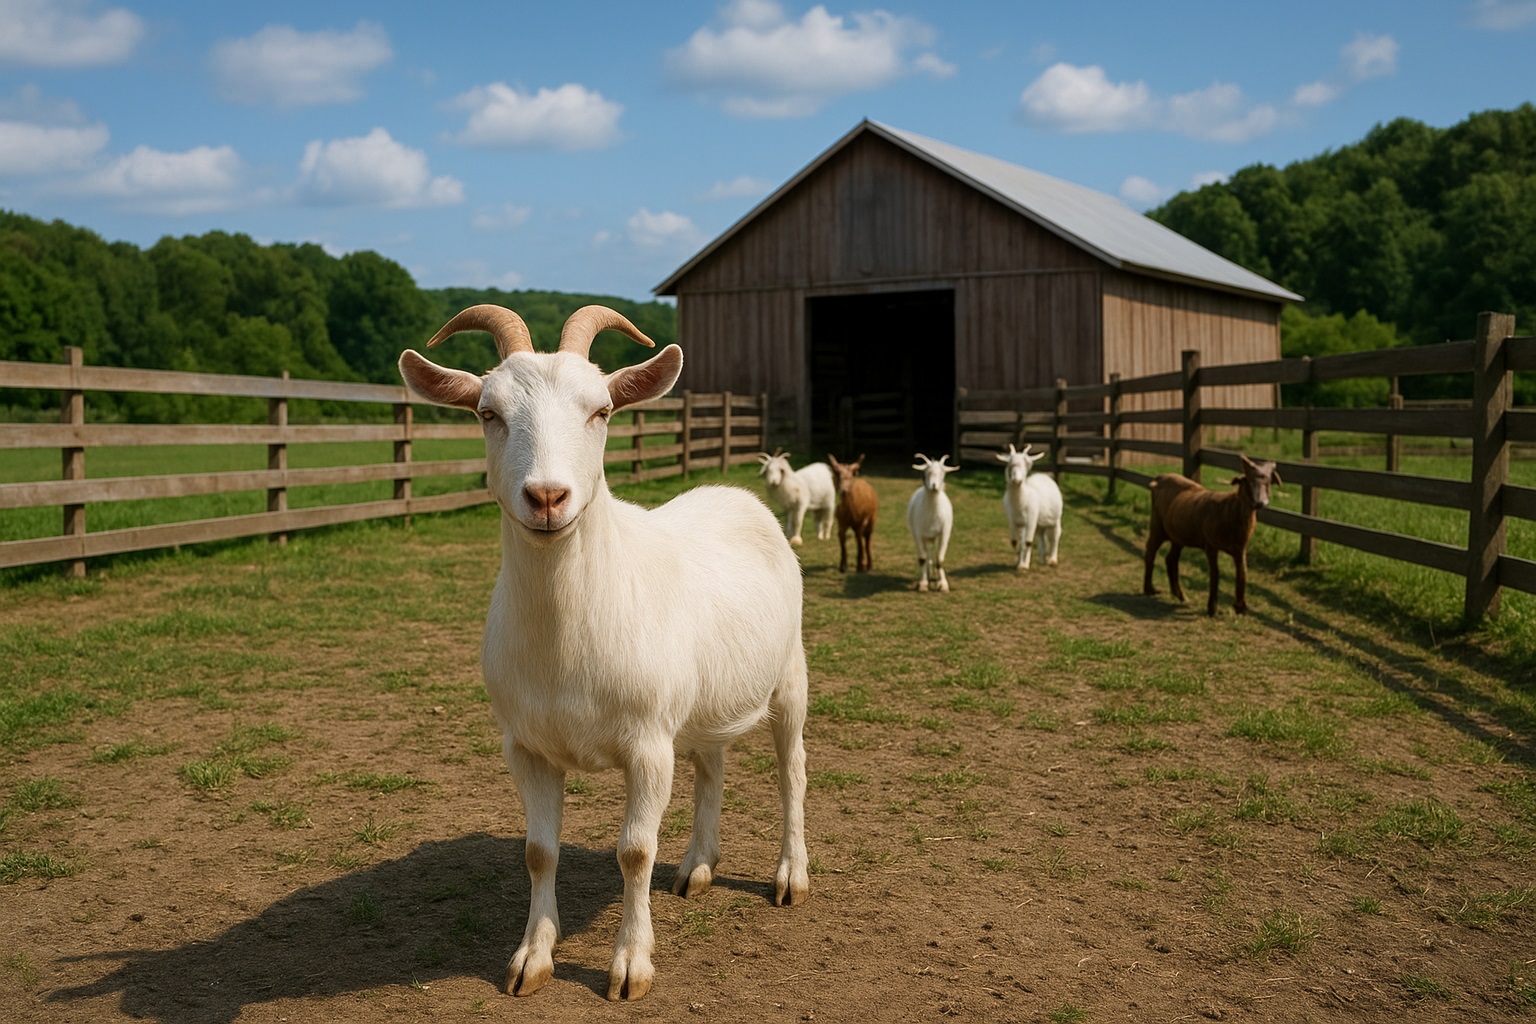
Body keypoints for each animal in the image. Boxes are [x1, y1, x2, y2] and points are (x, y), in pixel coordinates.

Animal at [398, 305, 809, 1001]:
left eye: (602, 410)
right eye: (487, 412)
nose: (546, 497)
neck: (567, 644)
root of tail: (735, 493)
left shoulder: (647, 743)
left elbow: (634, 851)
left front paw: (630, 966)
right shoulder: (526, 745)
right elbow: (539, 851)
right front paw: (531, 959)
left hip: (790, 679)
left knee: (792, 772)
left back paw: (791, 877)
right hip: (700, 706)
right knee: (711, 768)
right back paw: (698, 867)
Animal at [906, 453, 957, 592]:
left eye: (943, 473)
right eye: (926, 472)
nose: (933, 485)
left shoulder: (944, 533)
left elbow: (940, 559)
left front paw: (943, 584)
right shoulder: (918, 533)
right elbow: (922, 558)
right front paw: (923, 583)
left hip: (933, 536)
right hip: (923, 535)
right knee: (927, 554)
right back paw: (928, 573)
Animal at [1142, 455, 1281, 616]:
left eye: (1269, 482)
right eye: (1248, 481)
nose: (1261, 502)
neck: (1230, 507)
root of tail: (1159, 479)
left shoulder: (1240, 548)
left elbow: (1242, 573)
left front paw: (1240, 607)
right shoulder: (1211, 546)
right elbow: (1215, 574)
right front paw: (1212, 608)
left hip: (1178, 534)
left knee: (1171, 559)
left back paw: (1180, 595)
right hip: (1157, 526)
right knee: (1150, 550)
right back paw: (1149, 589)